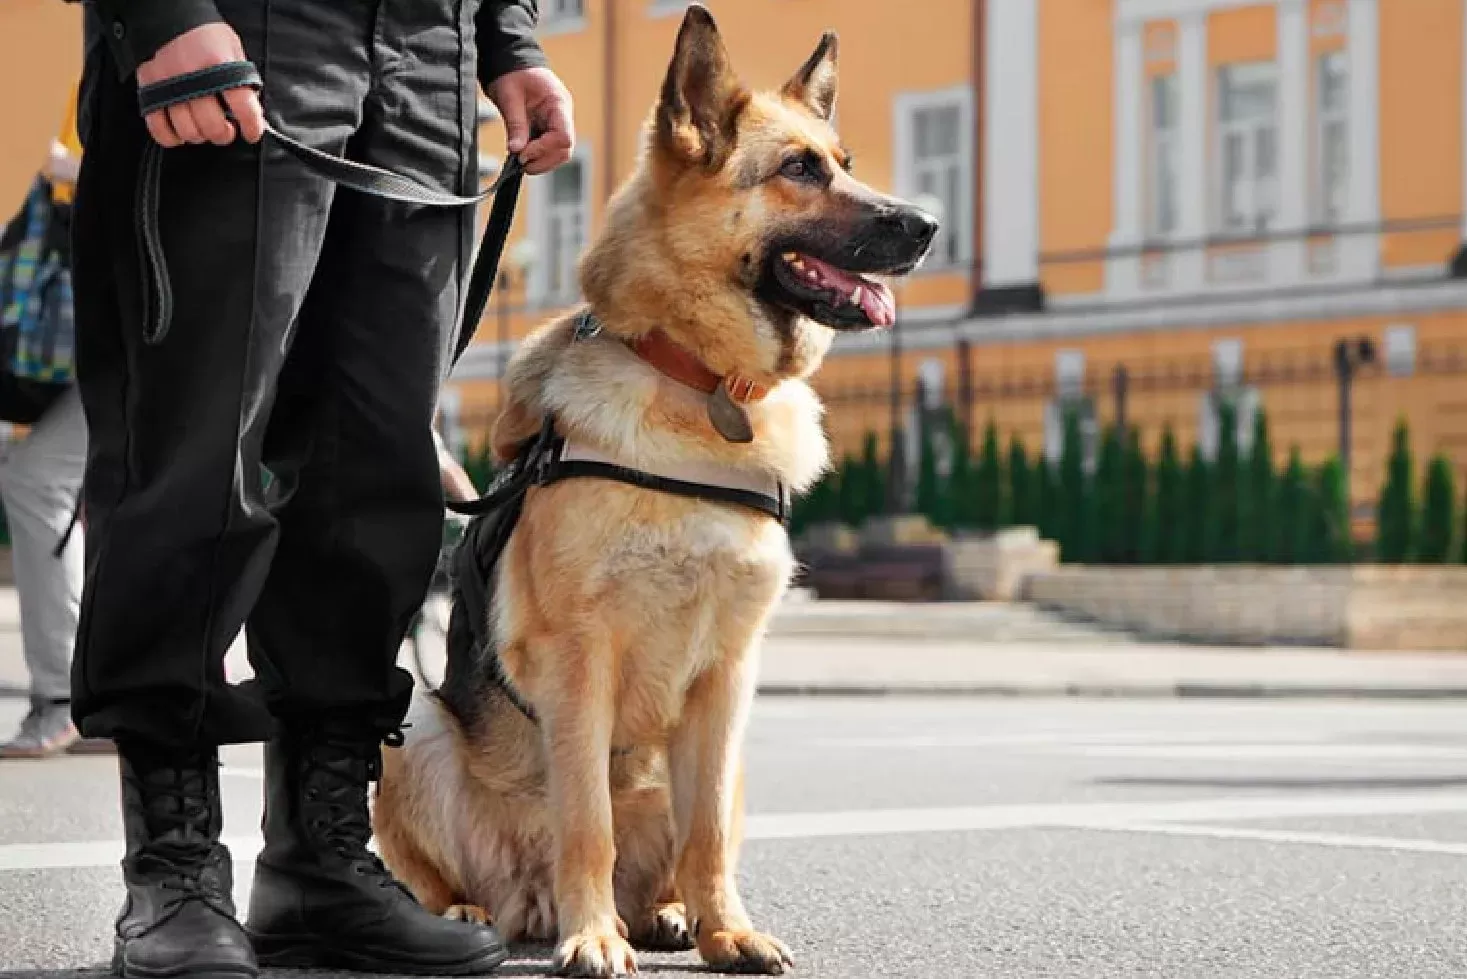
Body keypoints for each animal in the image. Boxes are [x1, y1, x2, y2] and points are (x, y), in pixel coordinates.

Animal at [372, 5, 933, 974]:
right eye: (798, 170)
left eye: (844, 161)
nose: (930, 223)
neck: (699, 384)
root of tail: (522, 900)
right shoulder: (579, 662)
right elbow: (585, 819)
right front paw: (592, 935)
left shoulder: (728, 677)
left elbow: (704, 832)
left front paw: (725, 930)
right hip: (411, 728)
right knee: (450, 872)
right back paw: (468, 915)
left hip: (732, 757)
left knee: (683, 842)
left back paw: (666, 913)